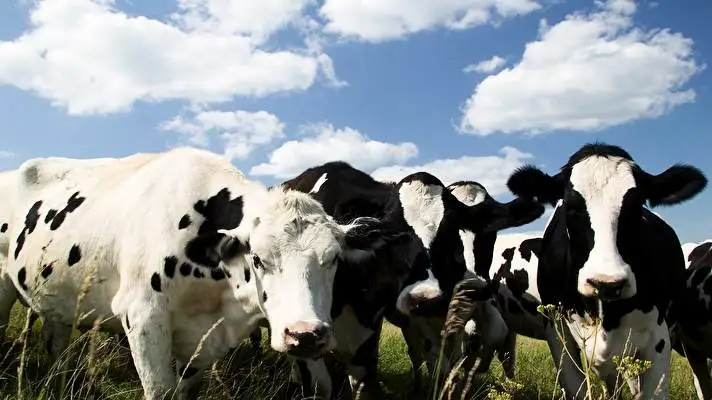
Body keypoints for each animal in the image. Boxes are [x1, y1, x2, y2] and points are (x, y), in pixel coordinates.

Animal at [0, 148, 407, 400]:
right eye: (257, 259)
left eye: (334, 259)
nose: (305, 335)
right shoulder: (143, 318)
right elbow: (161, 391)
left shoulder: (202, 341)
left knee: (54, 344)